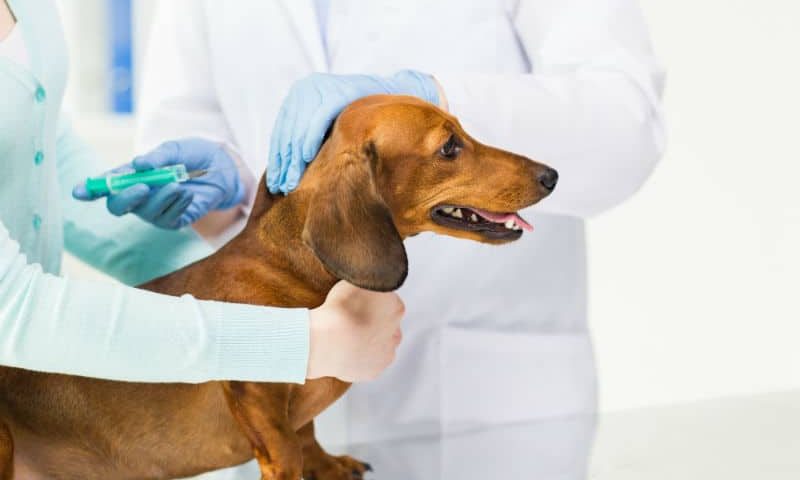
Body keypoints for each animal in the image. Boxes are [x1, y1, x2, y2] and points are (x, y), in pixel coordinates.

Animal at [0, 95, 557, 480]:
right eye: (449, 146)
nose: (551, 174)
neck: (295, 269)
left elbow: (306, 431)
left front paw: (328, 465)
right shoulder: (255, 391)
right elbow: (286, 446)